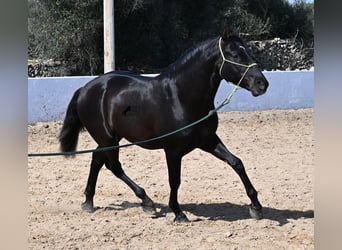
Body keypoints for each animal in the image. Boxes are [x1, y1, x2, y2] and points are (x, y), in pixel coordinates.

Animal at [58, 27, 268, 223]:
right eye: (235, 55)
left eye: (248, 52)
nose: (262, 84)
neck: (180, 97)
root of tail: (85, 89)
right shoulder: (172, 150)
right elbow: (174, 180)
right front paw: (178, 213)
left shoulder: (207, 140)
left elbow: (236, 163)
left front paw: (256, 207)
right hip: (107, 138)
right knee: (114, 166)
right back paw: (146, 202)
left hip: (111, 138)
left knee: (97, 160)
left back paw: (89, 202)